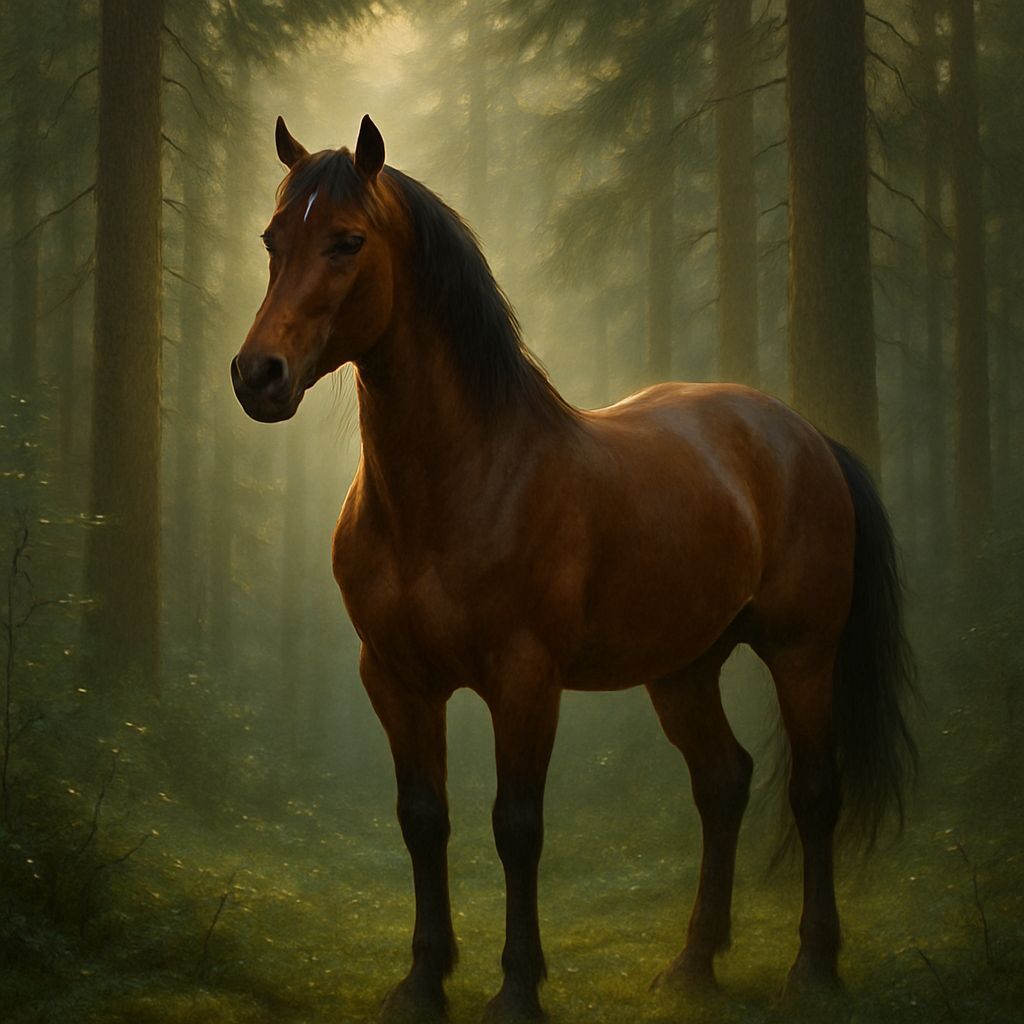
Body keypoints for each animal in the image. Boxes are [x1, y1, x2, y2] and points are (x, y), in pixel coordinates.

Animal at [231, 114, 915, 1023]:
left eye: (347, 241)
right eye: (273, 239)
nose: (257, 376)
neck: (460, 483)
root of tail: (801, 434)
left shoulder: (525, 678)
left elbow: (517, 826)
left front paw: (518, 988)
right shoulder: (396, 678)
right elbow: (423, 819)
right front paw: (421, 981)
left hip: (802, 653)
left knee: (813, 791)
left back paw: (813, 967)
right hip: (684, 668)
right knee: (723, 782)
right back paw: (695, 963)